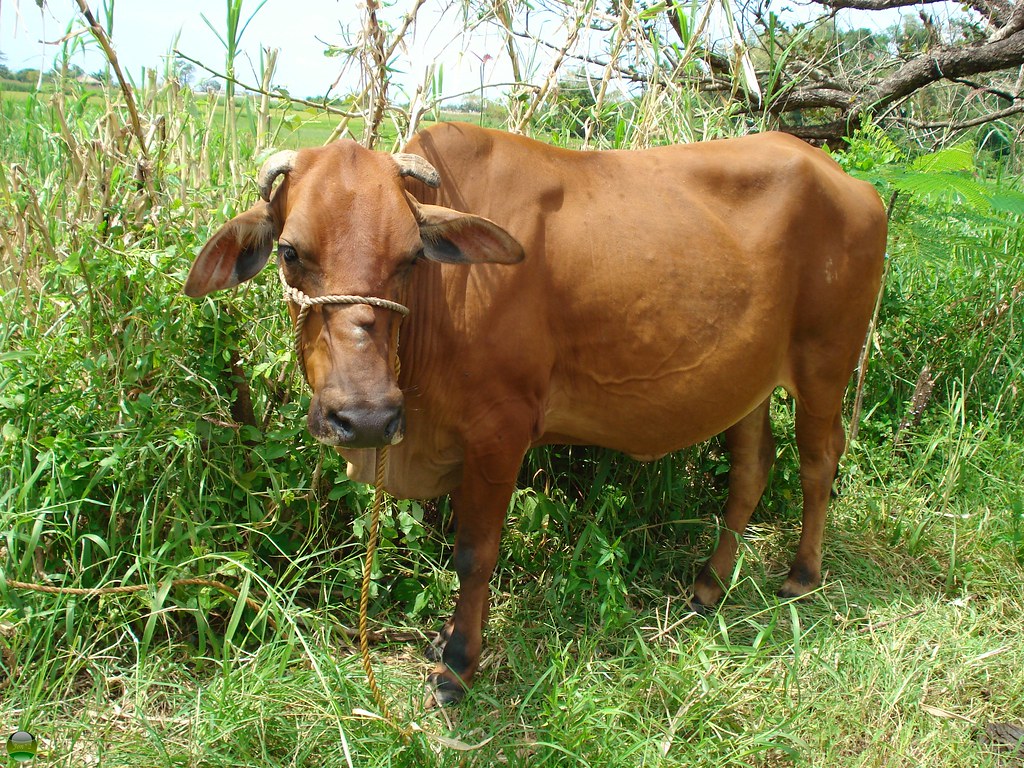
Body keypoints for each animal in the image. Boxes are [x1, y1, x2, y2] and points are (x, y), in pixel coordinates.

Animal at [184, 122, 887, 705]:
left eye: (411, 256)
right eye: (290, 252)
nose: (365, 417)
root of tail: (850, 182)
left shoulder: (501, 430)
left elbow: (474, 553)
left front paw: (457, 665)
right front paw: (447, 637)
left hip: (825, 362)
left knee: (820, 460)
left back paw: (801, 575)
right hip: (749, 380)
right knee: (752, 467)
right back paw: (710, 585)